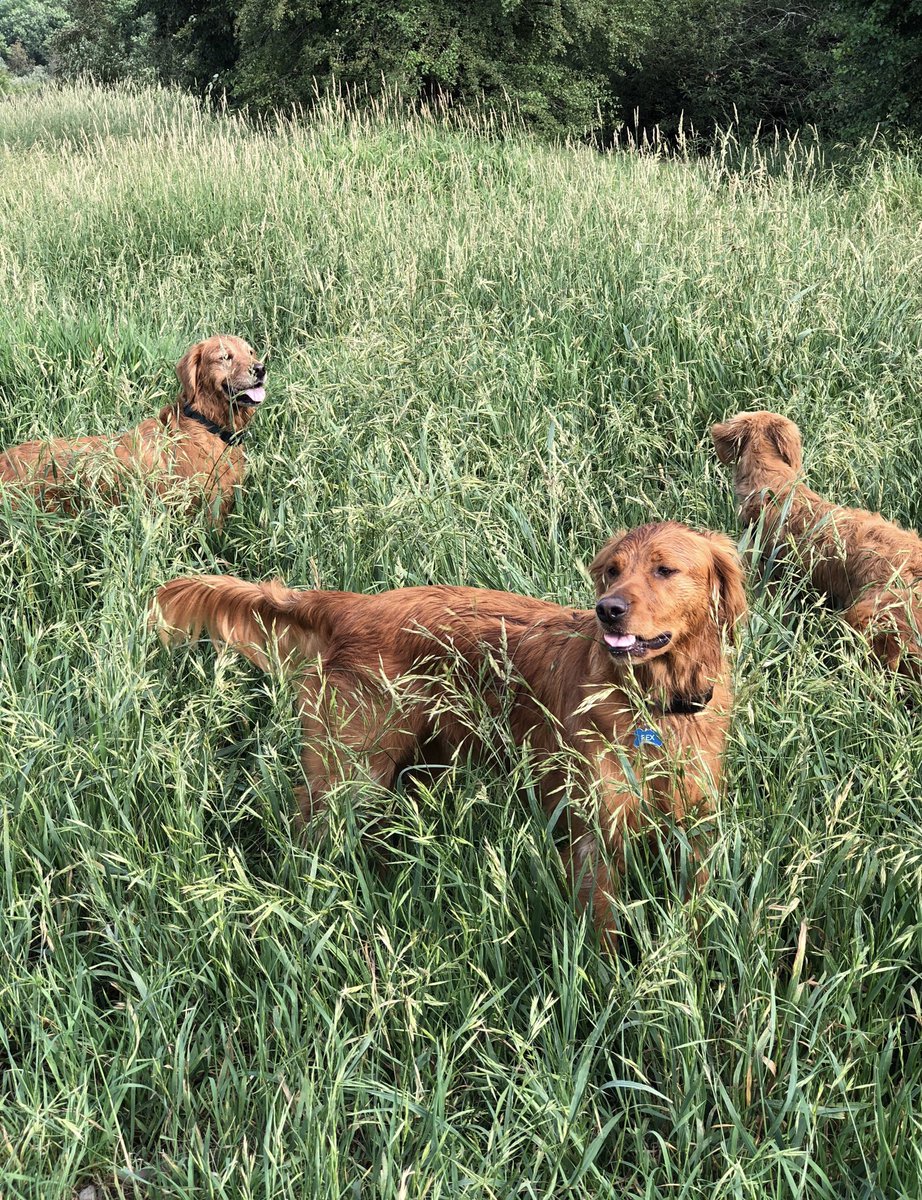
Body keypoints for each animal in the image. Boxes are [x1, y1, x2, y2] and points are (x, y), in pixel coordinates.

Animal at [154, 523, 744, 945]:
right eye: (613, 571)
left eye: (665, 569)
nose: (608, 610)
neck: (655, 703)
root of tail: (349, 604)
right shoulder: (594, 828)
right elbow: (602, 923)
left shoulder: (698, 824)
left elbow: (697, 908)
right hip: (353, 768)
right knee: (308, 827)